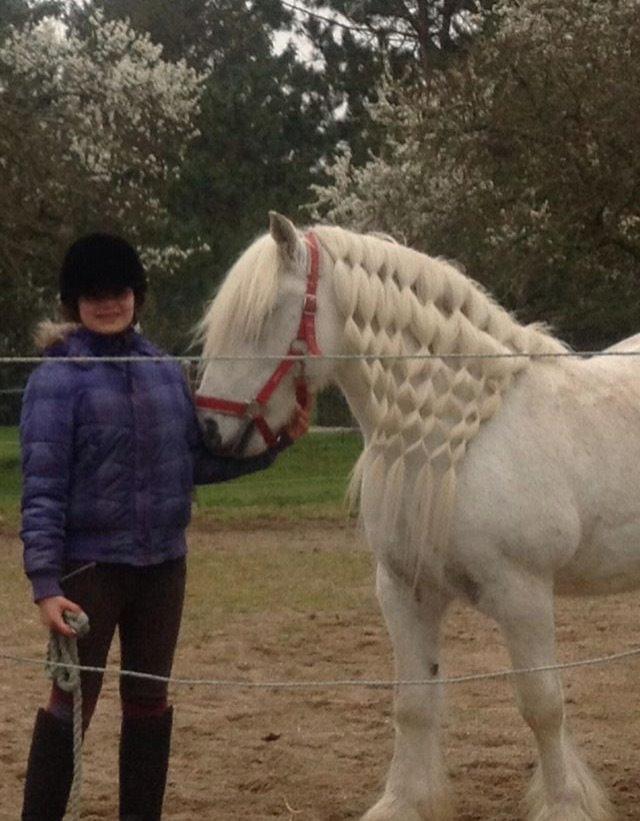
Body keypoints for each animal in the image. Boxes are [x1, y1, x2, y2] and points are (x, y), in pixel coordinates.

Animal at [195, 211, 640, 821]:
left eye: (263, 317)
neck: (458, 440)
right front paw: (404, 802)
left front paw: (566, 804)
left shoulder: (523, 594)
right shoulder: (405, 592)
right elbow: (414, 703)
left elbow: (543, 705)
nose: (210, 431)